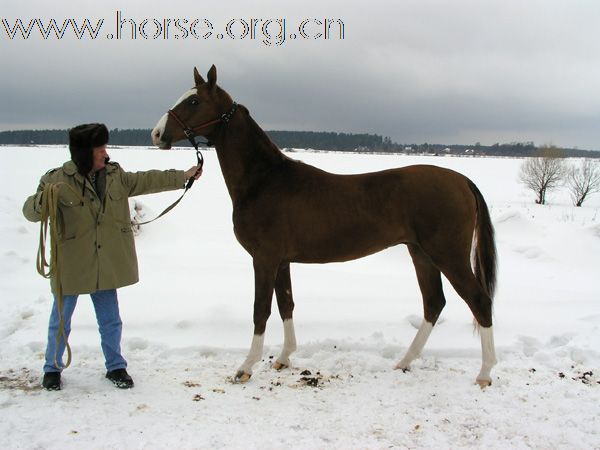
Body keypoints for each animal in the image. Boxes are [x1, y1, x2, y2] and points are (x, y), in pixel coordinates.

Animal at [152, 66, 500, 386]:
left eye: (194, 100)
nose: (157, 134)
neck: (264, 181)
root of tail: (462, 180)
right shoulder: (281, 261)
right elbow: (286, 304)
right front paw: (283, 358)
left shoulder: (264, 259)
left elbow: (261, 310)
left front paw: (245, 367)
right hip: (421, 254)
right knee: (434, 303)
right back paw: (405, 362)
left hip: (448, 256)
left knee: (479, 302)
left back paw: (484, 373)